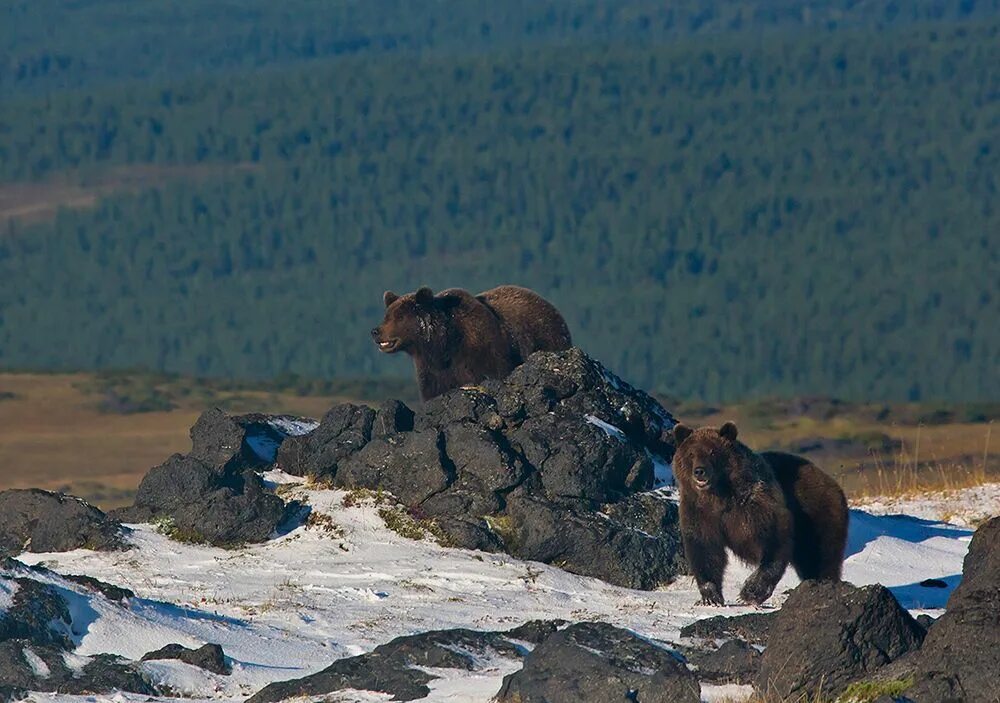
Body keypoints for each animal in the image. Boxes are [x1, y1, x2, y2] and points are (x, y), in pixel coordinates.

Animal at [370, 282, 572, 402]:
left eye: (400, 317)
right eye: (387, 315)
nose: (375, 331)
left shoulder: (483, 350)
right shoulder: (431, 370)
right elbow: (433, 392)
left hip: (547, 338)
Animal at [668, 420, 848, 608]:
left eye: (713, 452)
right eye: (691, 453)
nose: (699, 471)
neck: (720, 496)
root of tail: (829, 479)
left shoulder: (756, 504)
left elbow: (774, 538)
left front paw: (749, 592)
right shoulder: (699, 512)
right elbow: (705, 549)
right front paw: (711, 596)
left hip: (818, 513)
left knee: (821, 554)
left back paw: (824, 583)